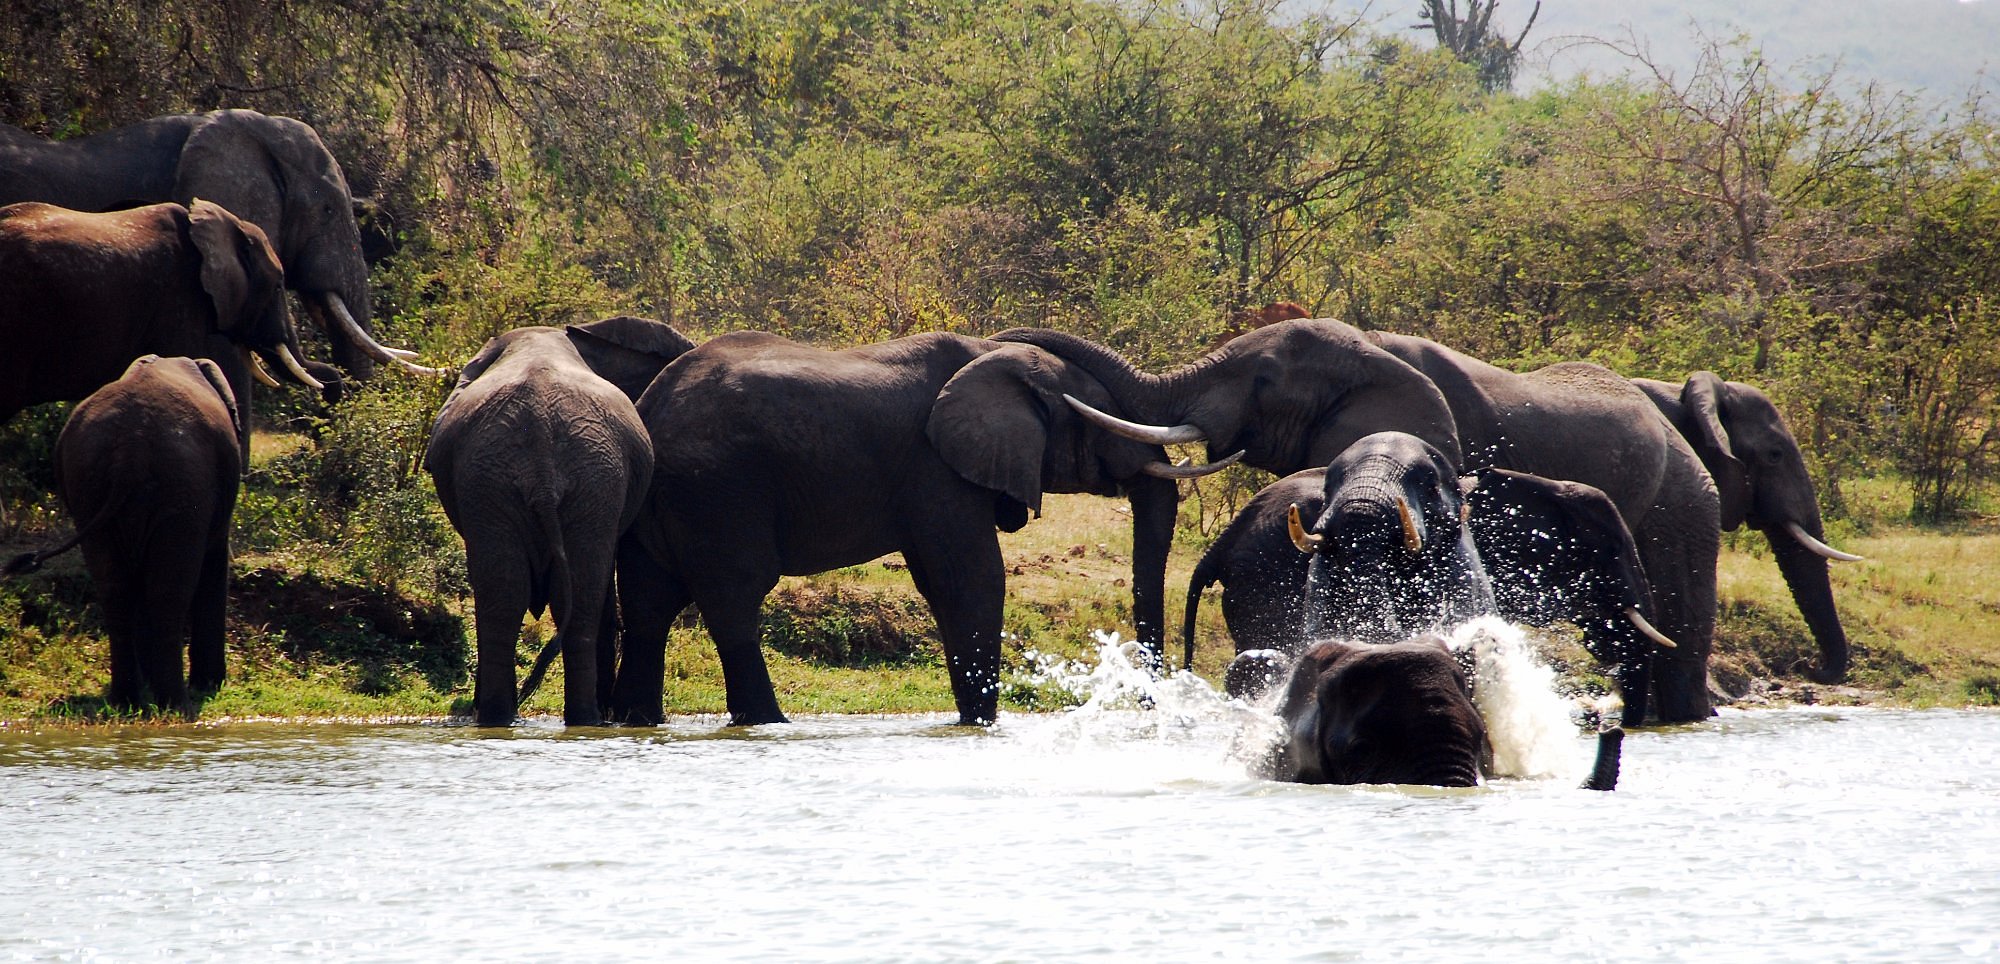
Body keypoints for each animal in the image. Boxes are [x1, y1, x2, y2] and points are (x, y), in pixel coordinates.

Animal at [2, 356, 244, 716]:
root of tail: (130, 450)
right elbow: (213, 560)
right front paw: (210, 685)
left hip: (91, 484)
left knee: (114, 588)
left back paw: (127, 699)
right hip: (182, 482)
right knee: (169, 590)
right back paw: (175, 705)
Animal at [424, 316, 697, 727]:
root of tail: (540, 458)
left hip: (541, 481)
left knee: (526, 598)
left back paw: (527, 717)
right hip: (534, 480)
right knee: (545, 598)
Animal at [609, 330, 1236, 727]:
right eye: (1105, 420)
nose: (1153, 710)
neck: (993, 358)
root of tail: (651, 407)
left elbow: (941, 584)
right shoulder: (935, 468)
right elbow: (971, 578)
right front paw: (980, 723)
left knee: (646, 606)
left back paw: (638, 721)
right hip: (719, 491)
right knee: (733, 602)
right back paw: (769, 722)